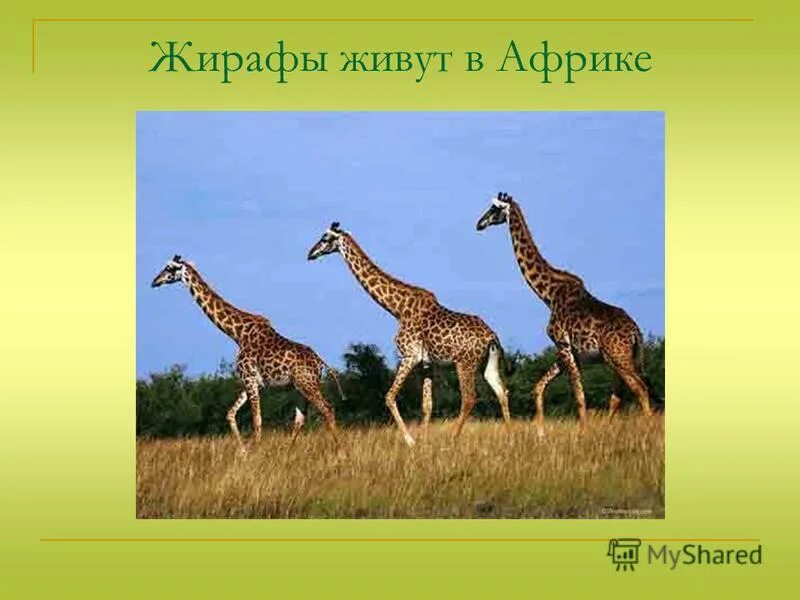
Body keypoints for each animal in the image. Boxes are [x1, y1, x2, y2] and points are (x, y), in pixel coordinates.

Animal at [151, 255, 341, 450]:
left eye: (169, 268)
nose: (154, 282)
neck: (237, 334)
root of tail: (321, 363)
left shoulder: (249, 378)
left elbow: (256, 420)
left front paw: (254, 451)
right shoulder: (252, 381)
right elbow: (230, 414)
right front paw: (243, 450)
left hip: (307, 384)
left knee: (327, 408)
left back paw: (339, 449)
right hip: (296, 387)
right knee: (301, 417)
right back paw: (288, 451)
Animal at [307, 223, 510, 446]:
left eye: (325, 238)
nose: (310, 253)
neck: (397, 309)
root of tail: (492, 336)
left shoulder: (409, 355)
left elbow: (389, 397)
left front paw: (411, 441)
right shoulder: (427, 363)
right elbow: (427, 405)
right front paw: (423, 442)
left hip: (464, 362)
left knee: (469, 398)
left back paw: (452, 439)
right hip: (487, 362)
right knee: (502, 392)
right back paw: (510, 439)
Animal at [476, 192, 653, 436]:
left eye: (494, 209)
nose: (479, 224)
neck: (549, 295)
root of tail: (637, 332)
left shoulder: (563, 345)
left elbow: (579, 395)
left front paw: (581, 435)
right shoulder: (569, 351)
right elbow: (539, 386)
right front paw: (541, 433)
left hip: (619, 357)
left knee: (640, 388)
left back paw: (648, 432)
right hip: (617, 359)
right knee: (618, 396)